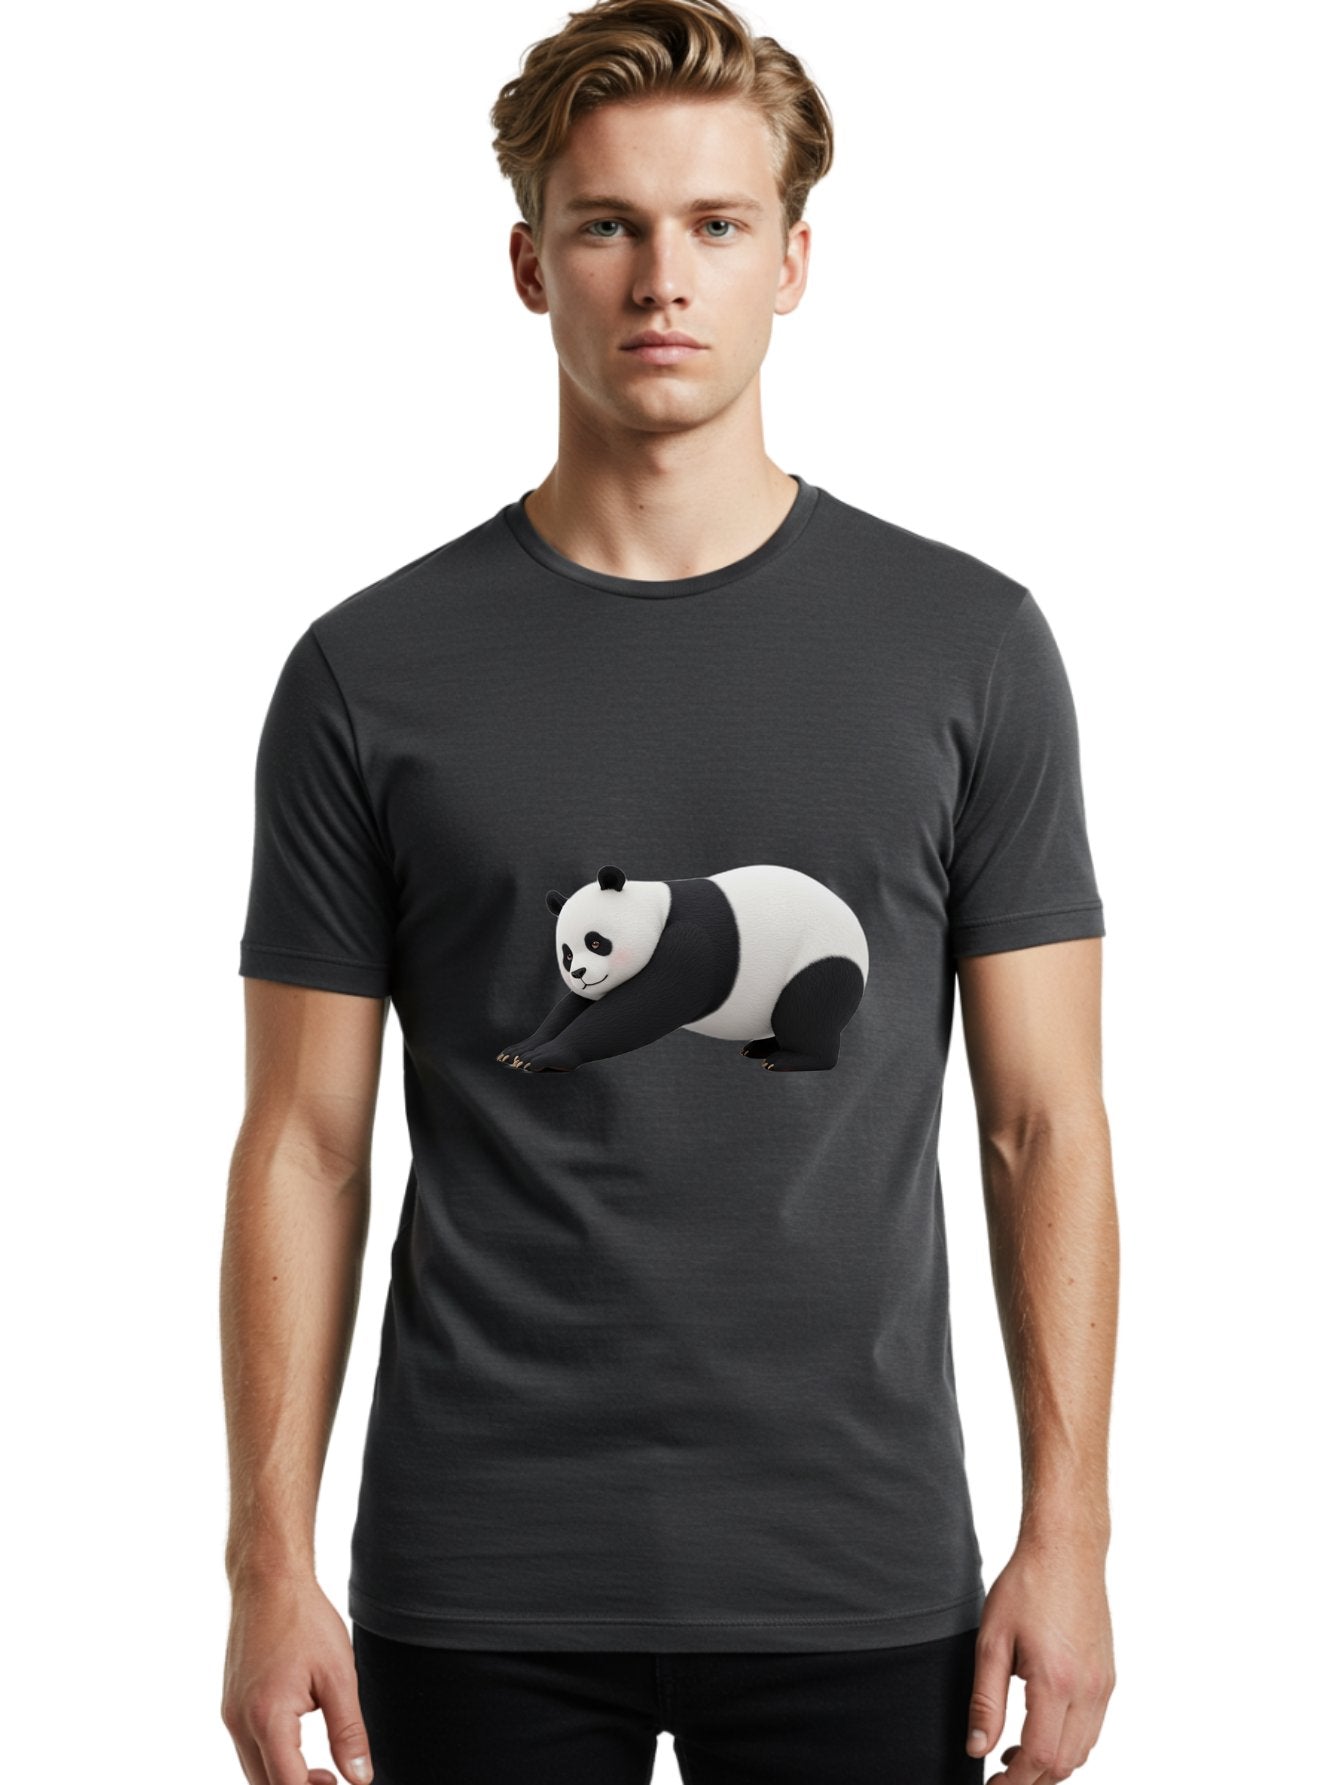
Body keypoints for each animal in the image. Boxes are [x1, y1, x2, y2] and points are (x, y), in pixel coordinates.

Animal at [496, 863, 869, 1074]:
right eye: (567, 955)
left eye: (596, 942)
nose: (579, 976)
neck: (656, 906)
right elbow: (575, 1007)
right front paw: (520, 1051)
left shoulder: (695, 941)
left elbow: (643, 1007)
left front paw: (548, 1056)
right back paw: (763, 1047)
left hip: (820, 959)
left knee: (806, 1008)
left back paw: (792, 1059)